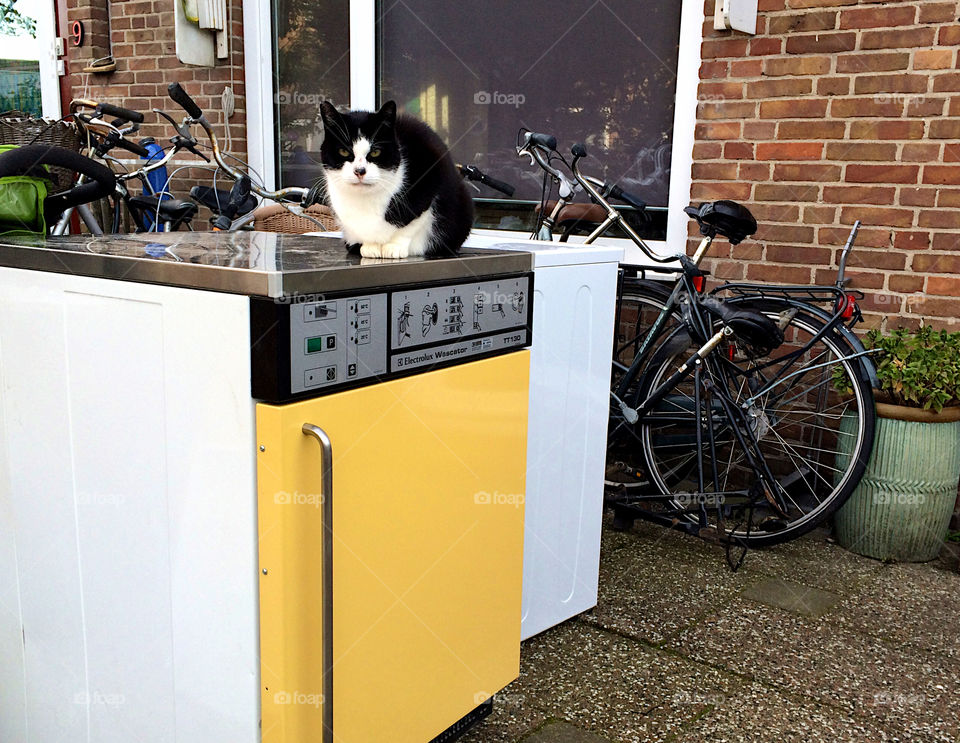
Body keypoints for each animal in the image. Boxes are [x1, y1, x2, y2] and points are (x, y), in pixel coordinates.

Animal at [320, 101, 474, 258]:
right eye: (343, 151)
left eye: (376, 152)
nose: (360, 171)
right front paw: (370, 246)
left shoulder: (430, 182)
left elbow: (411, 224)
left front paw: (395, 246)